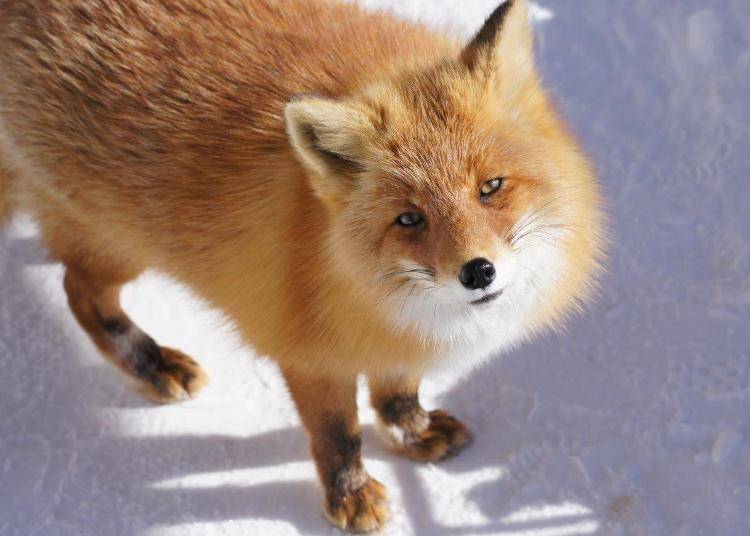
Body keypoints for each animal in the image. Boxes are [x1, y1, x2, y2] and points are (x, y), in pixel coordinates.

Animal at [0, 0, 604, 532]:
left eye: (491, 187)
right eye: (409, 219)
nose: (477, 272)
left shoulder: (389, 338)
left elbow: (397, 393)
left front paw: (411, 433)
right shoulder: (309, 352)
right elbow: (338, 435)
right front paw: (350, 497)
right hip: (117, 244)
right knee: (79, 291)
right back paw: (152, 364)